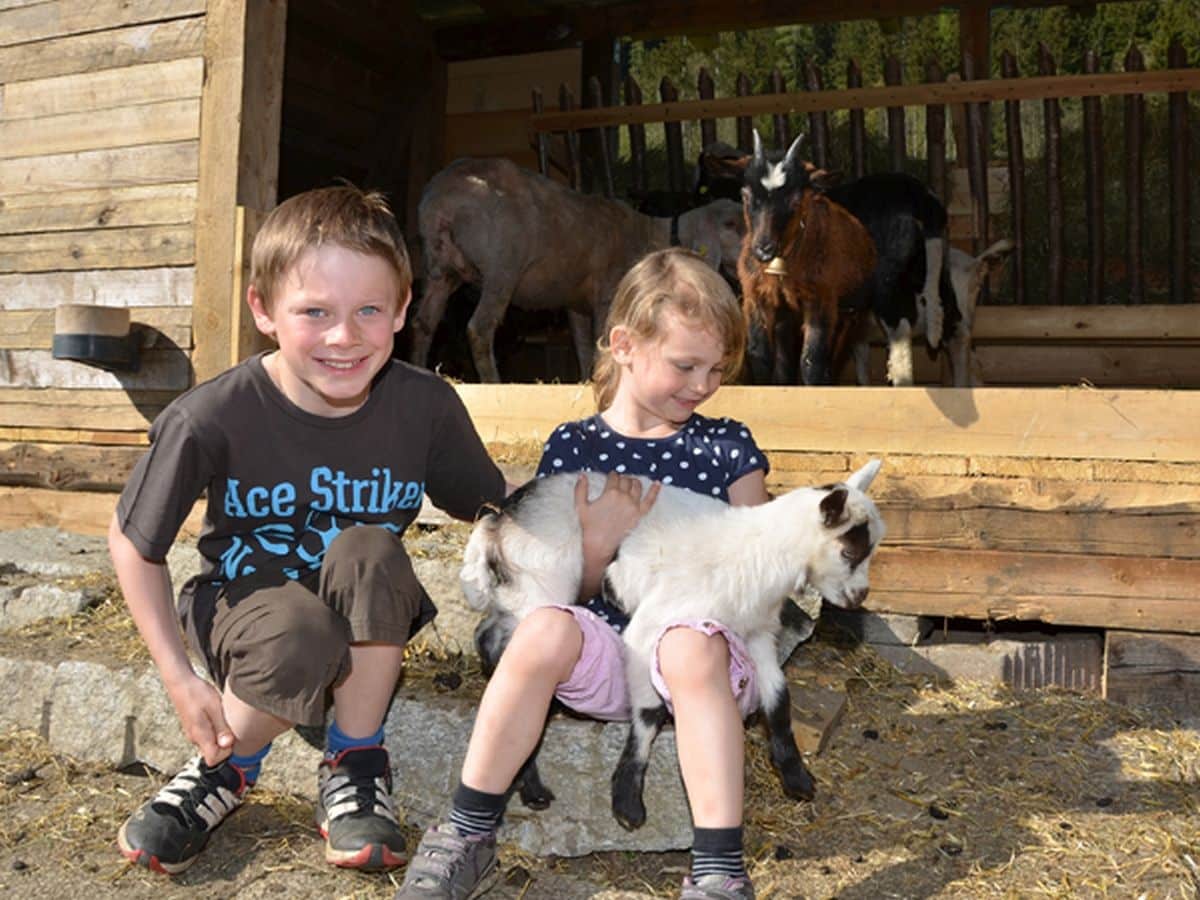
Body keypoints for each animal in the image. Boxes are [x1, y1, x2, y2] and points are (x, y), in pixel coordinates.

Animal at [410, 158, 745, 382]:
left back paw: (420, 369)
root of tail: (442, 201)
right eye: (732, 224)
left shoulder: (576, 304)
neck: (651, 234)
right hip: (502, 266)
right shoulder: (608, 294)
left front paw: (588, 382)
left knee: (423, 324)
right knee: (479, 328)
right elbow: (603, 344)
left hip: (440, 269)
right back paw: (493, 383)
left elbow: (584, 348)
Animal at [459, 460, 886, 826]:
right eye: (850, 551)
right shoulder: (648, 628)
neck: (757, 552)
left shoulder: (758, 635)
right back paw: (531, 785)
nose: (860, 597)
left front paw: (796, 775)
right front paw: (627, 800)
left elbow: (779, 701)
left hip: (518, 593)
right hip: (543, 583)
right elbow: (648, 713)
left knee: (489, 636)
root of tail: (499, 520)